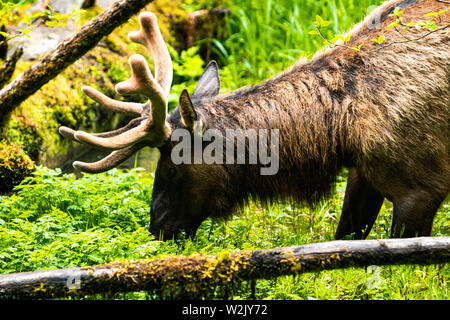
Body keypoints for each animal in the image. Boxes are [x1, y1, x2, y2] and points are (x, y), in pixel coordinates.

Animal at [59, 0, 450, 240]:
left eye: (171, 169)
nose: (158, 229)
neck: (337, 129)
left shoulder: (420, 188)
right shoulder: (363, 172)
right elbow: (345, 236)